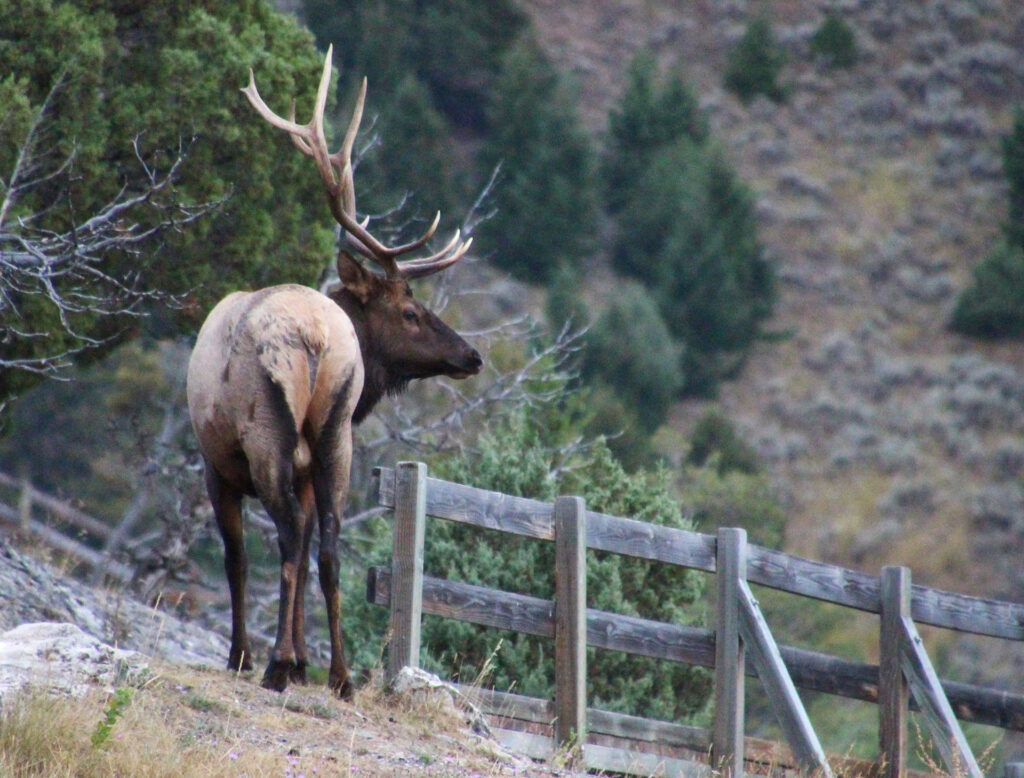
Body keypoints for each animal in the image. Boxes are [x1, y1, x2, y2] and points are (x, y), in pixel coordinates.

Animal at [186, 45, 481, 696]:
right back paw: (339, 675)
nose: (472, 355)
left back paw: (273, 665)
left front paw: (246, 655)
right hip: (335, 436)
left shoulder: (216, 464)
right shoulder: (301, 462)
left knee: (290, 535)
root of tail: (318, 337)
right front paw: (301, 658)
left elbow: (238, 557)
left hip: (266, 428)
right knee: (328, 544)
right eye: (411, 312)